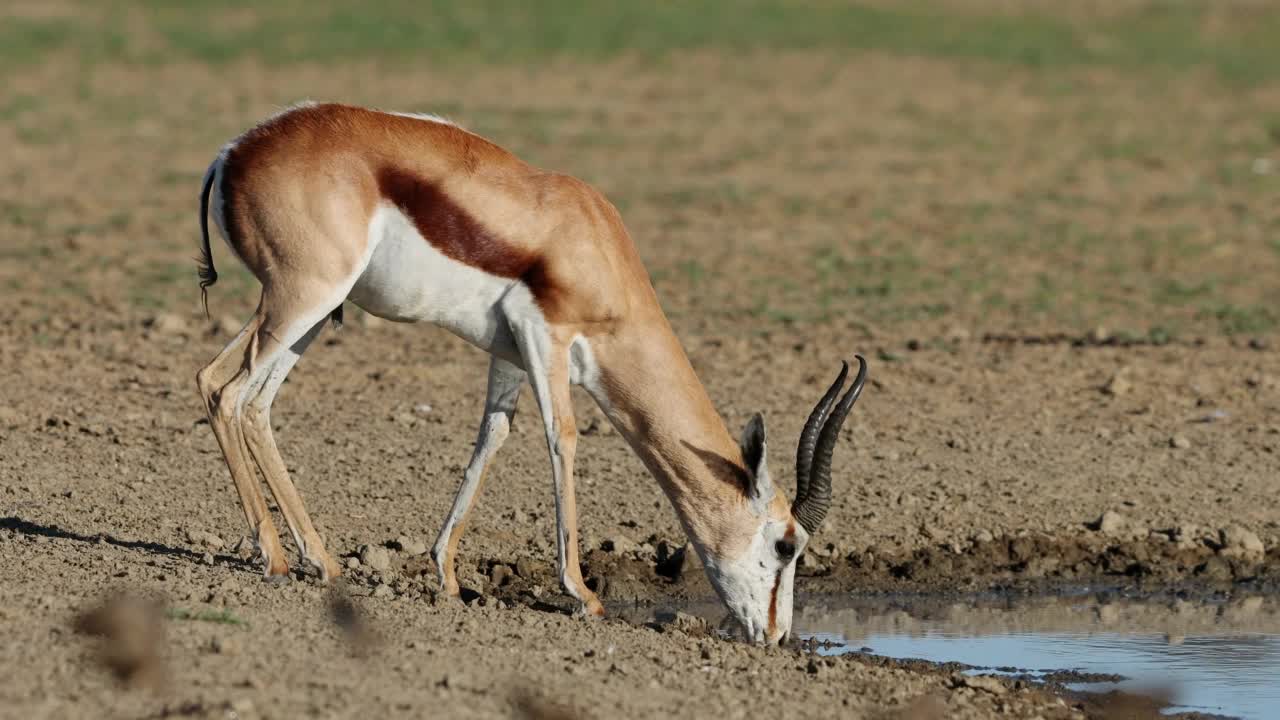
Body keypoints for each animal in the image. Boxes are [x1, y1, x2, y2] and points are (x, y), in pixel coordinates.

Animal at [194, 99, 865, 638]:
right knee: (225, 389)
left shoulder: (508, 351)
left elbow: (492, 434)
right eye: (786, 544)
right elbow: (561, 437)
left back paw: (320, 560)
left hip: (311, 311)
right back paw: (276, 559)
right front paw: (584, 594)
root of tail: (232, 152)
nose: (776, 635)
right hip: (302, 298)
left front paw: (448, 575)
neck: (591, 242)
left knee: (247, 398)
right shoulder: (547, 336)